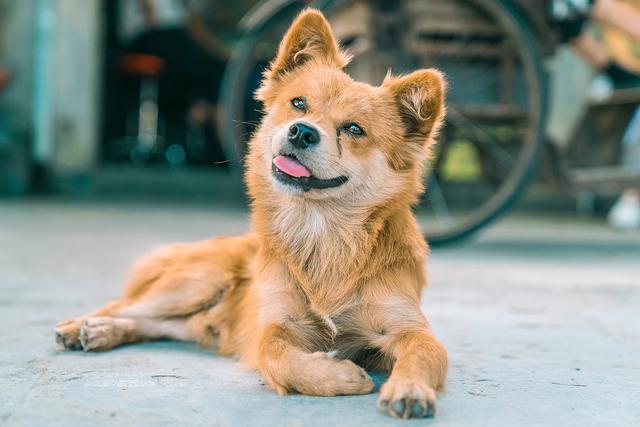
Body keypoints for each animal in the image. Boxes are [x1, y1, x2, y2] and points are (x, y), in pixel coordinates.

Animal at [55, 10, 448, 422]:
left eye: (354, 129)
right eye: (298, 103)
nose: (301, 132)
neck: (321, 230)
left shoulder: (411, 330)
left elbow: (423, 355)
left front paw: (409, 387)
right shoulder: (276, 325)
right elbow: (276, 356)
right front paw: (340, 377)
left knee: (152, 323)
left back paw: (103, 331)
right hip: (197, 282)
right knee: (124, 305)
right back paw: (85, 324)